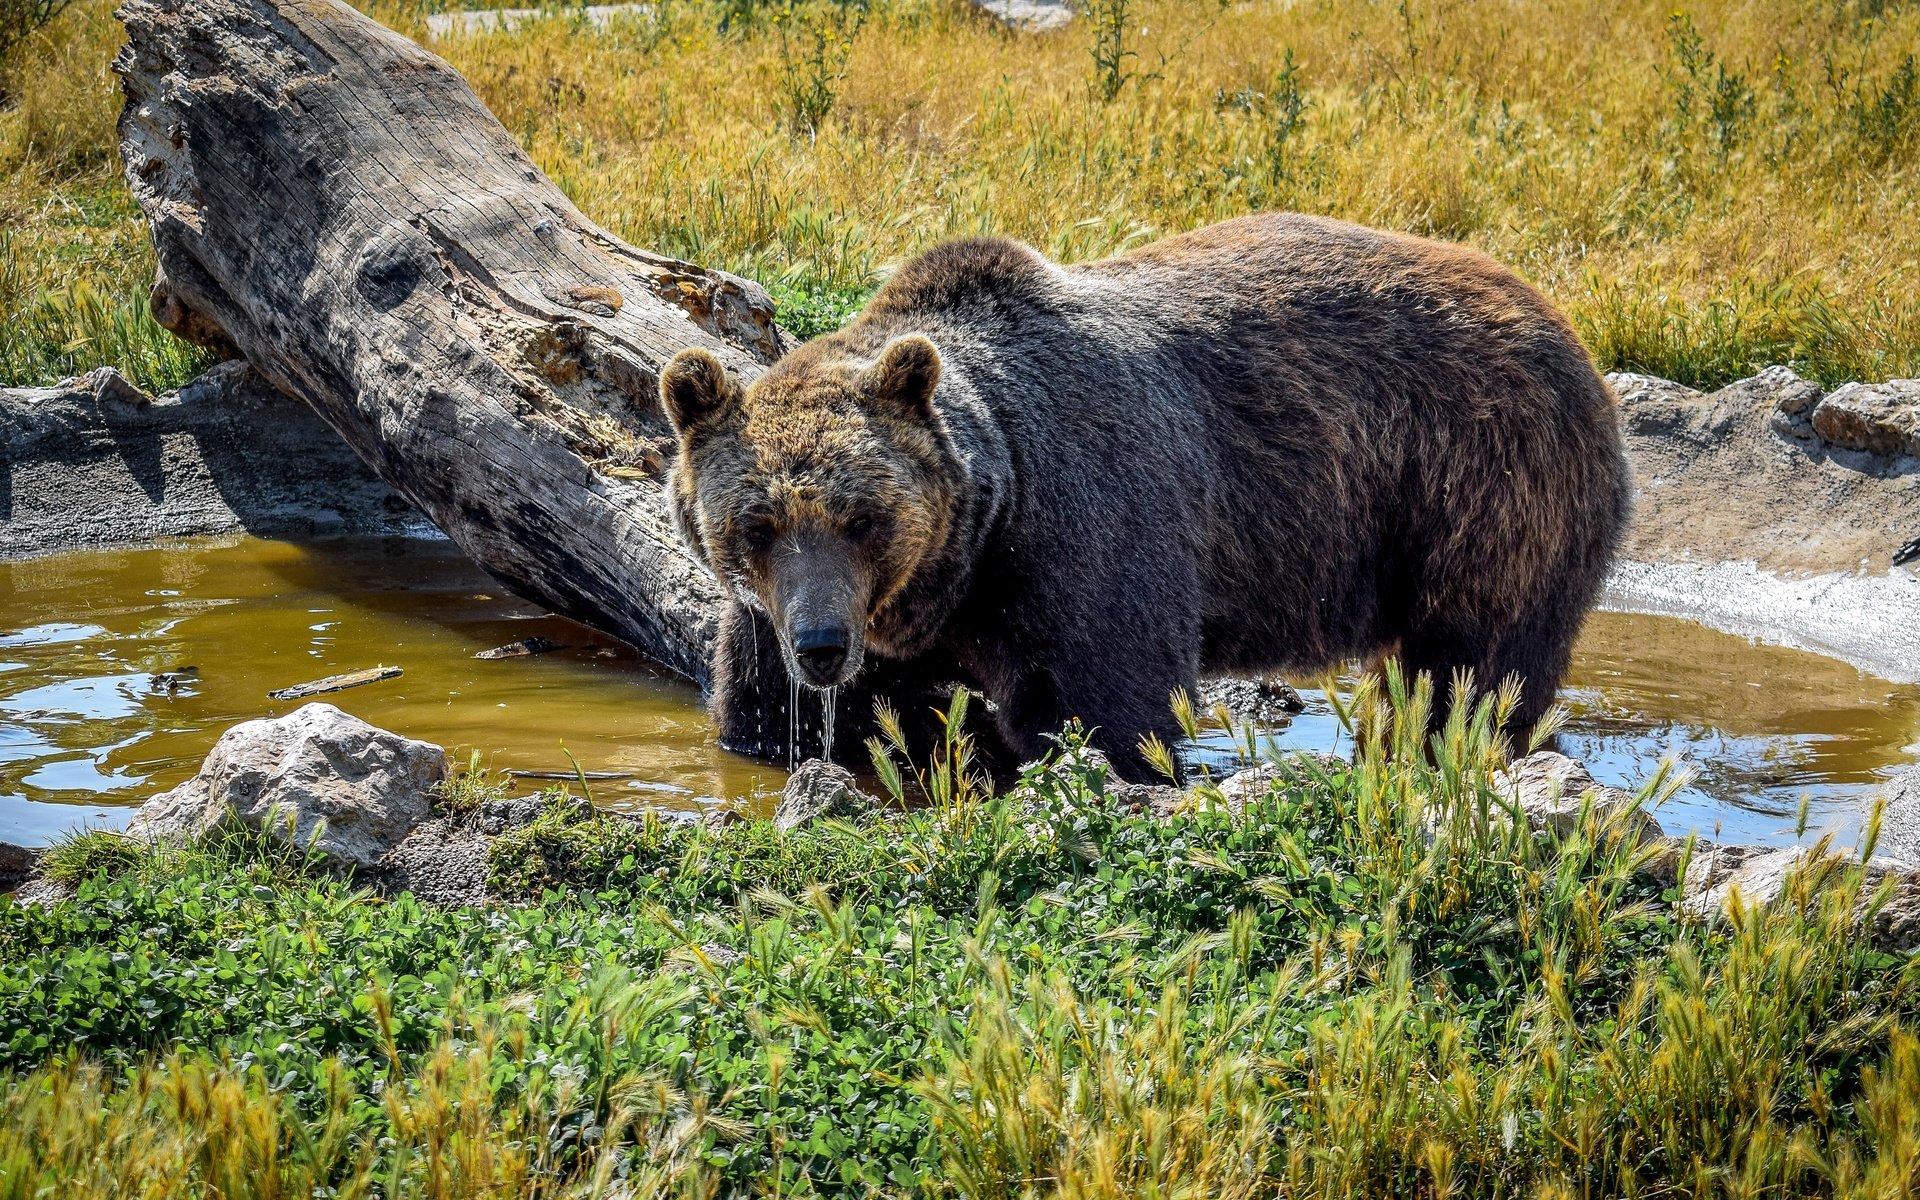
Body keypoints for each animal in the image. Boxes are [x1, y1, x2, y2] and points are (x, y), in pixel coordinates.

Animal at [664, 213, 1635, 775]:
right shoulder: (793, 604)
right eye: (756, 523)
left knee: (1475, 665)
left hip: (1483, 487)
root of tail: (1567, 331)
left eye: (864, 518)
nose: (825, 647)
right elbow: (762, 707)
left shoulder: (1090, 528)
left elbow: (1106, 703)